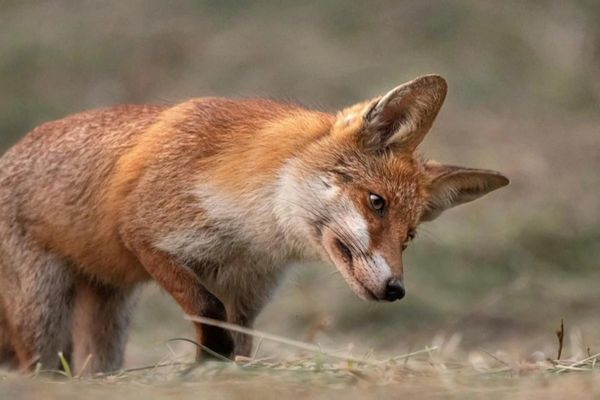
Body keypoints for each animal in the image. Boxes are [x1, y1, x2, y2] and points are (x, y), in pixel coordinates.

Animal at [0, 76, 506, 376]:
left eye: (410, 236)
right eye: (376, 202)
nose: (396, 290)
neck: (248, 234)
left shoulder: (248, 291)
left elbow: (238, 337)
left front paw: (222, 369)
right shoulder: (145, 237)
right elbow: (205, 307)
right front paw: (209, 361)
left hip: (108, 322)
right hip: (42, 313)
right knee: (36, 365)